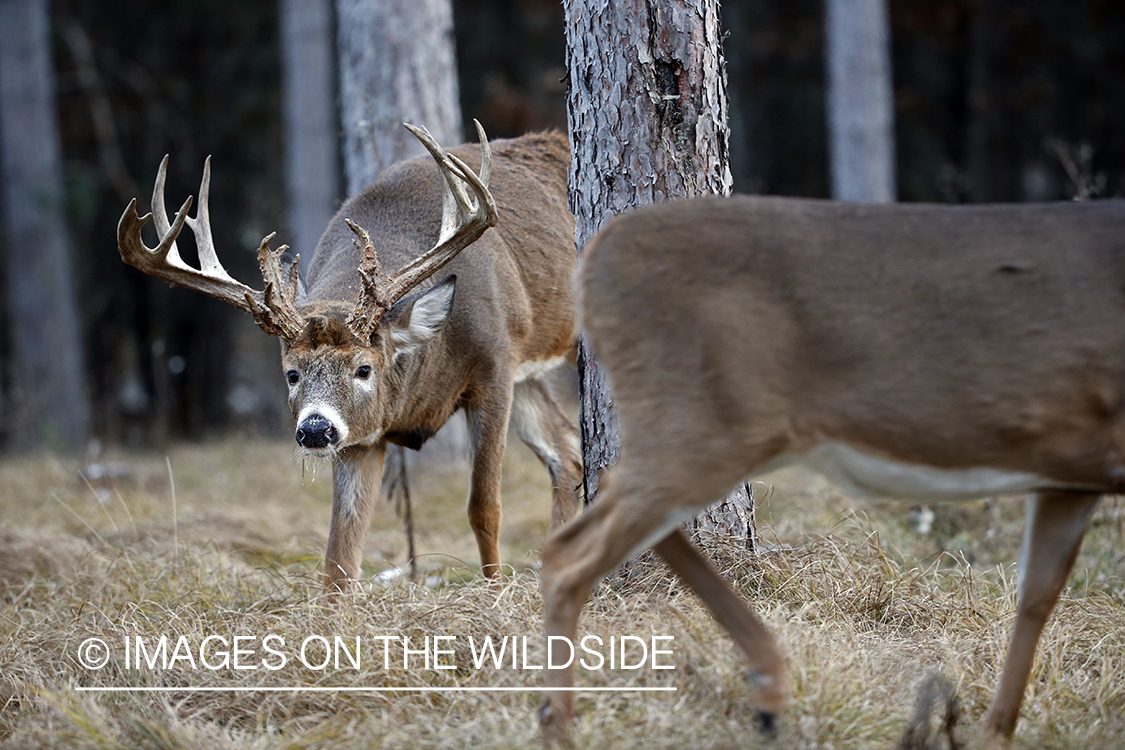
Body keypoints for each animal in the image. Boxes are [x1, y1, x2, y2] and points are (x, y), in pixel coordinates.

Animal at [116, 123, 580, 593]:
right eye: (291, 374)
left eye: (363, 368)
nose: (315, 429)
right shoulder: (364, 434)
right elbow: (342, 544)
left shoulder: (496, 365)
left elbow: (484, 506)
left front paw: (493, 593)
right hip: (529, 377)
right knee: (567, 450)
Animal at [540, 196, 1125, 742]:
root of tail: (590, 262)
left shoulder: (1067, 477)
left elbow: (1038, 596)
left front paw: (994, 733)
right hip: (704, 420)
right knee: (568, 552)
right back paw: (559, 725)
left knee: (611, 497)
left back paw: (766, 687)